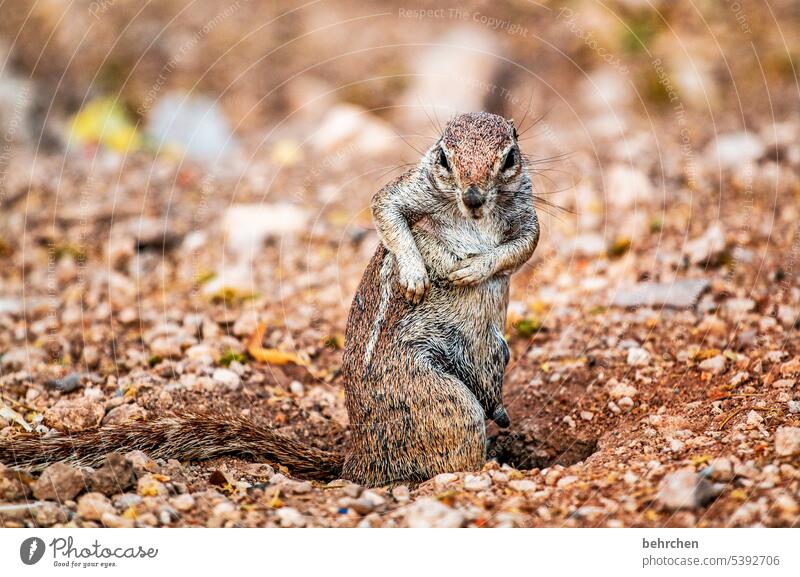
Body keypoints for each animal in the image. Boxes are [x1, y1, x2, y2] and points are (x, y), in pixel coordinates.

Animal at [1, 111, 536, 486]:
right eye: (444, 158)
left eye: (509, 157)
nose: (473, 197)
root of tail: (356, 459)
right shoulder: (419, 208)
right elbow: (396, 214)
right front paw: (420, 271)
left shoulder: (524, 214)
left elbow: (524, 244)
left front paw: (476, 265)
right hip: (443, 401)